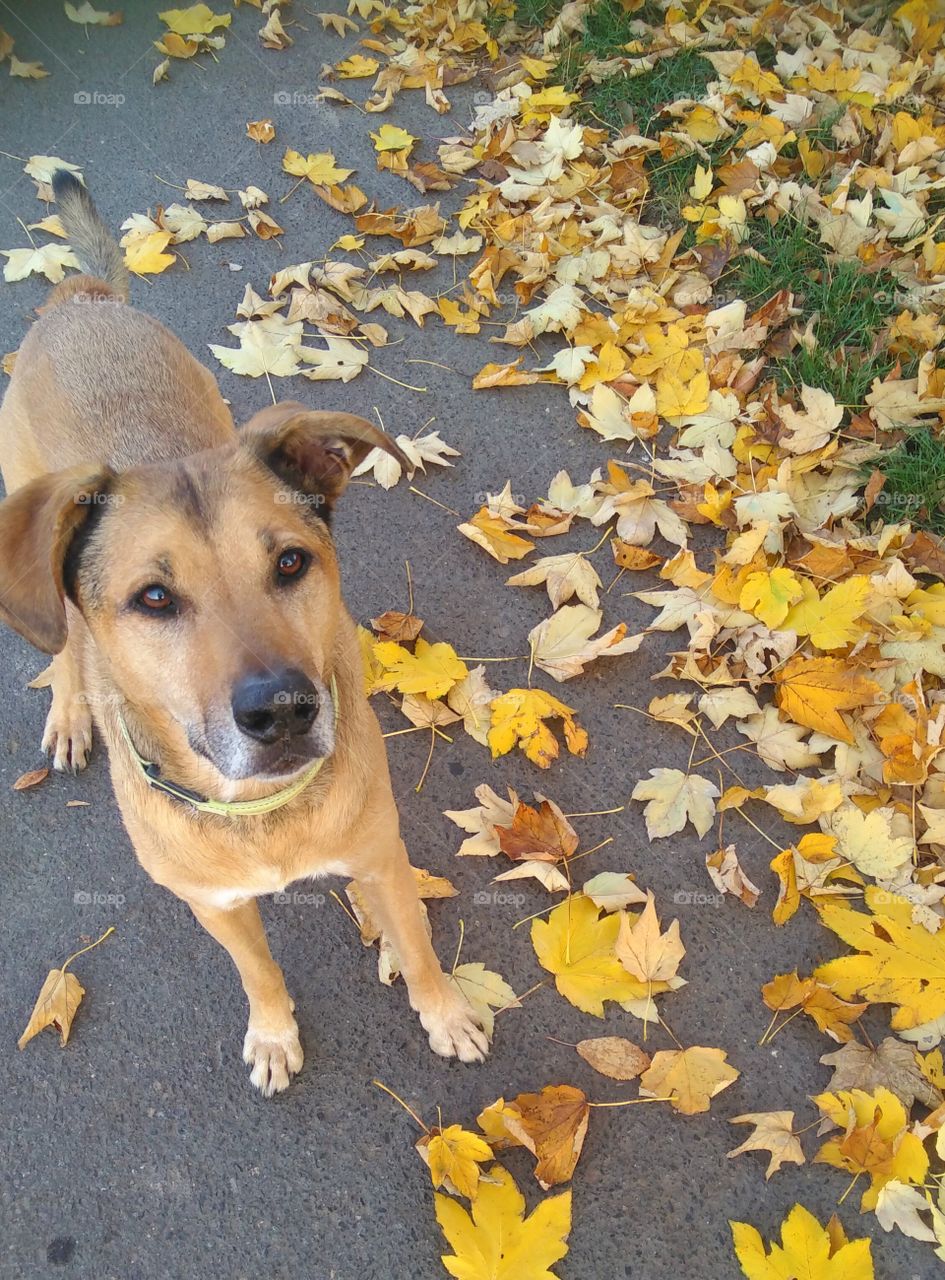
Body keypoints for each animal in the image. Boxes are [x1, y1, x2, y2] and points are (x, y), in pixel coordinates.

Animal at [0, 167, 486, 1090]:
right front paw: (272, 1032)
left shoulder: (383, 858)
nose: (283, 713)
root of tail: (81, 302)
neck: (264, 813)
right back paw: (72, 711)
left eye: (291, 563)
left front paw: (444, 1012)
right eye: (154, 599)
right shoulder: (213, 905)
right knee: (65, 641)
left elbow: (417, 947)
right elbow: (257, 970)